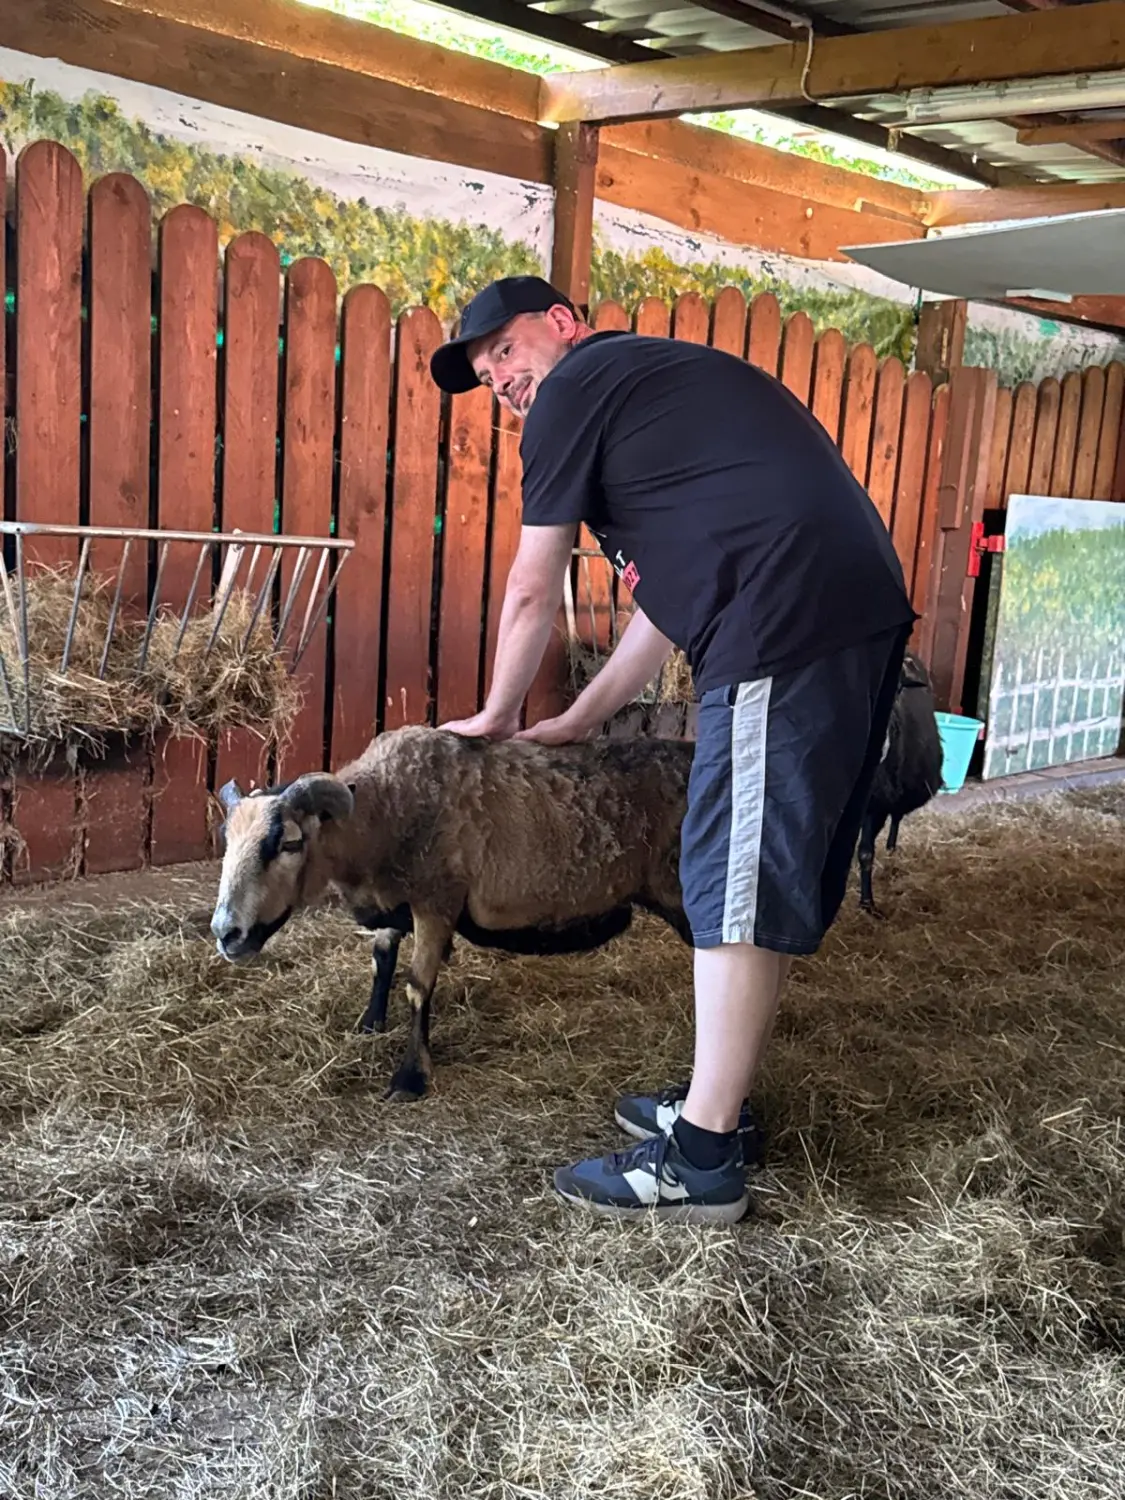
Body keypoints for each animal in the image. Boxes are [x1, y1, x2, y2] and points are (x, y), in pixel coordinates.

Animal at [210, 726, 693, 1100]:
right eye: (227, 840)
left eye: (290, 843)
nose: (226, 933)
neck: (386, 812)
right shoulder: (396, 901)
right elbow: (381, 959)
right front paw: (369, 1024)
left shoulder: (436, 901)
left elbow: (417, 987)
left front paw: (409, 1078)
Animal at [857, 649, 944, 916]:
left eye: (896, 691)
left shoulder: (876, 805)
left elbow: (865, 853)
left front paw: (868, 904)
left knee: (897, 817)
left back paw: (891, 850)